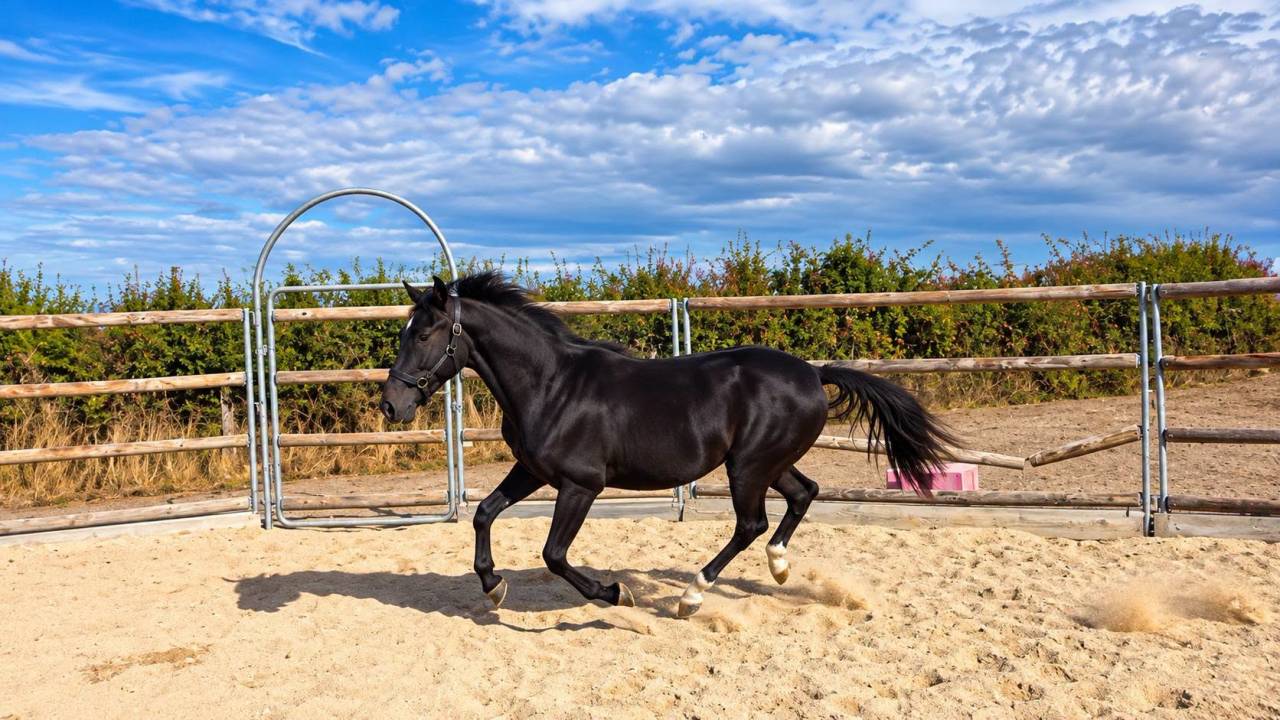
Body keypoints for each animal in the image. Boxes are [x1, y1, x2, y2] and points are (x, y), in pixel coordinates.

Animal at [380, 271, 957, 617]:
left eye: (425, 334)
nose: (391, 405)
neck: (550, 383)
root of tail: (815, 374)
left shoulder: (580, 485)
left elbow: (554, 554)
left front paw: (616, 593)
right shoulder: (533, 471)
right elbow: (482, 513)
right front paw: (493, 585)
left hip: (748, 467)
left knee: (752, 523)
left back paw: (691, 596)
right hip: (765, 462)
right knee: (802, 494)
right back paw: (778, 567)